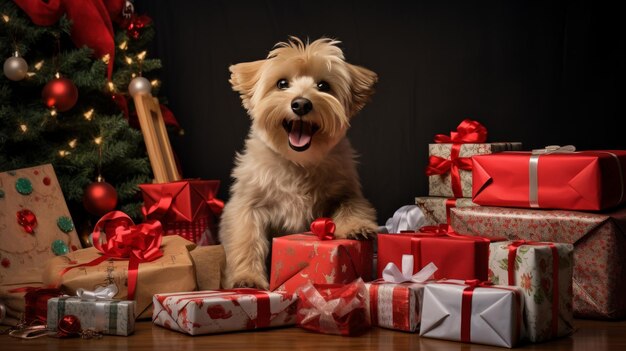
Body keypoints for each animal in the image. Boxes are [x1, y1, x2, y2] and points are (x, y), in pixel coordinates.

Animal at [218, 37, 376, 290]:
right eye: (282, 83)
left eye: (323, 86)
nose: (301, 104)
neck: (297, 163)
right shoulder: (246, 207)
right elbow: (246, 242)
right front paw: (247, 277)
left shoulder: (345, 191)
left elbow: (352, 205)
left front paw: (356, 227)